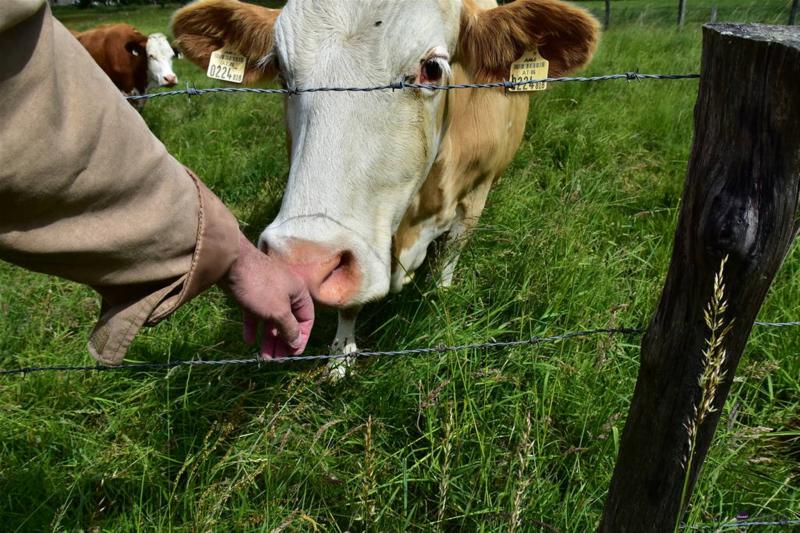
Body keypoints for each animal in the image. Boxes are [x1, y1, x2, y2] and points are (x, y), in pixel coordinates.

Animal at [173, 0, 600, 378]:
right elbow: (350, 304)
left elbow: (450, 255)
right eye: (280, 70)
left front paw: (440, 303)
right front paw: (340, 356)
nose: (303, 263)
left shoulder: (476, 193)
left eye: (432, 68)